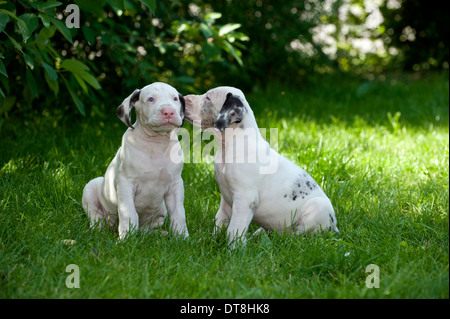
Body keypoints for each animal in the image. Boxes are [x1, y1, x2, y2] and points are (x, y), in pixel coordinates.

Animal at [82, 82, 188, 240]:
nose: (169, 111)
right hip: (90, 189)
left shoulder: (175, 185)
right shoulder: (125, 184)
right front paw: (126, 239)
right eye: (151, 99)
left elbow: (179, 214)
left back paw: (156, 234)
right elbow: (129, 213)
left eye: (175, 98)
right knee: (96, 217)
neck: (156, 143)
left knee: (146, 228)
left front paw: (183, 238)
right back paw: (99, 231)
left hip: (161, 211)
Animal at [184, 88, 338, 250]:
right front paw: (210, 241)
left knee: (297, 235)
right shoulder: (225, 200)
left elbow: (234, 227)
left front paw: (234, 249)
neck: (229, 146)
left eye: (208, 98)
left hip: (318, 208)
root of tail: (335, 227)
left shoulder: (245, 198)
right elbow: (219, 221)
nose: (183, 98)